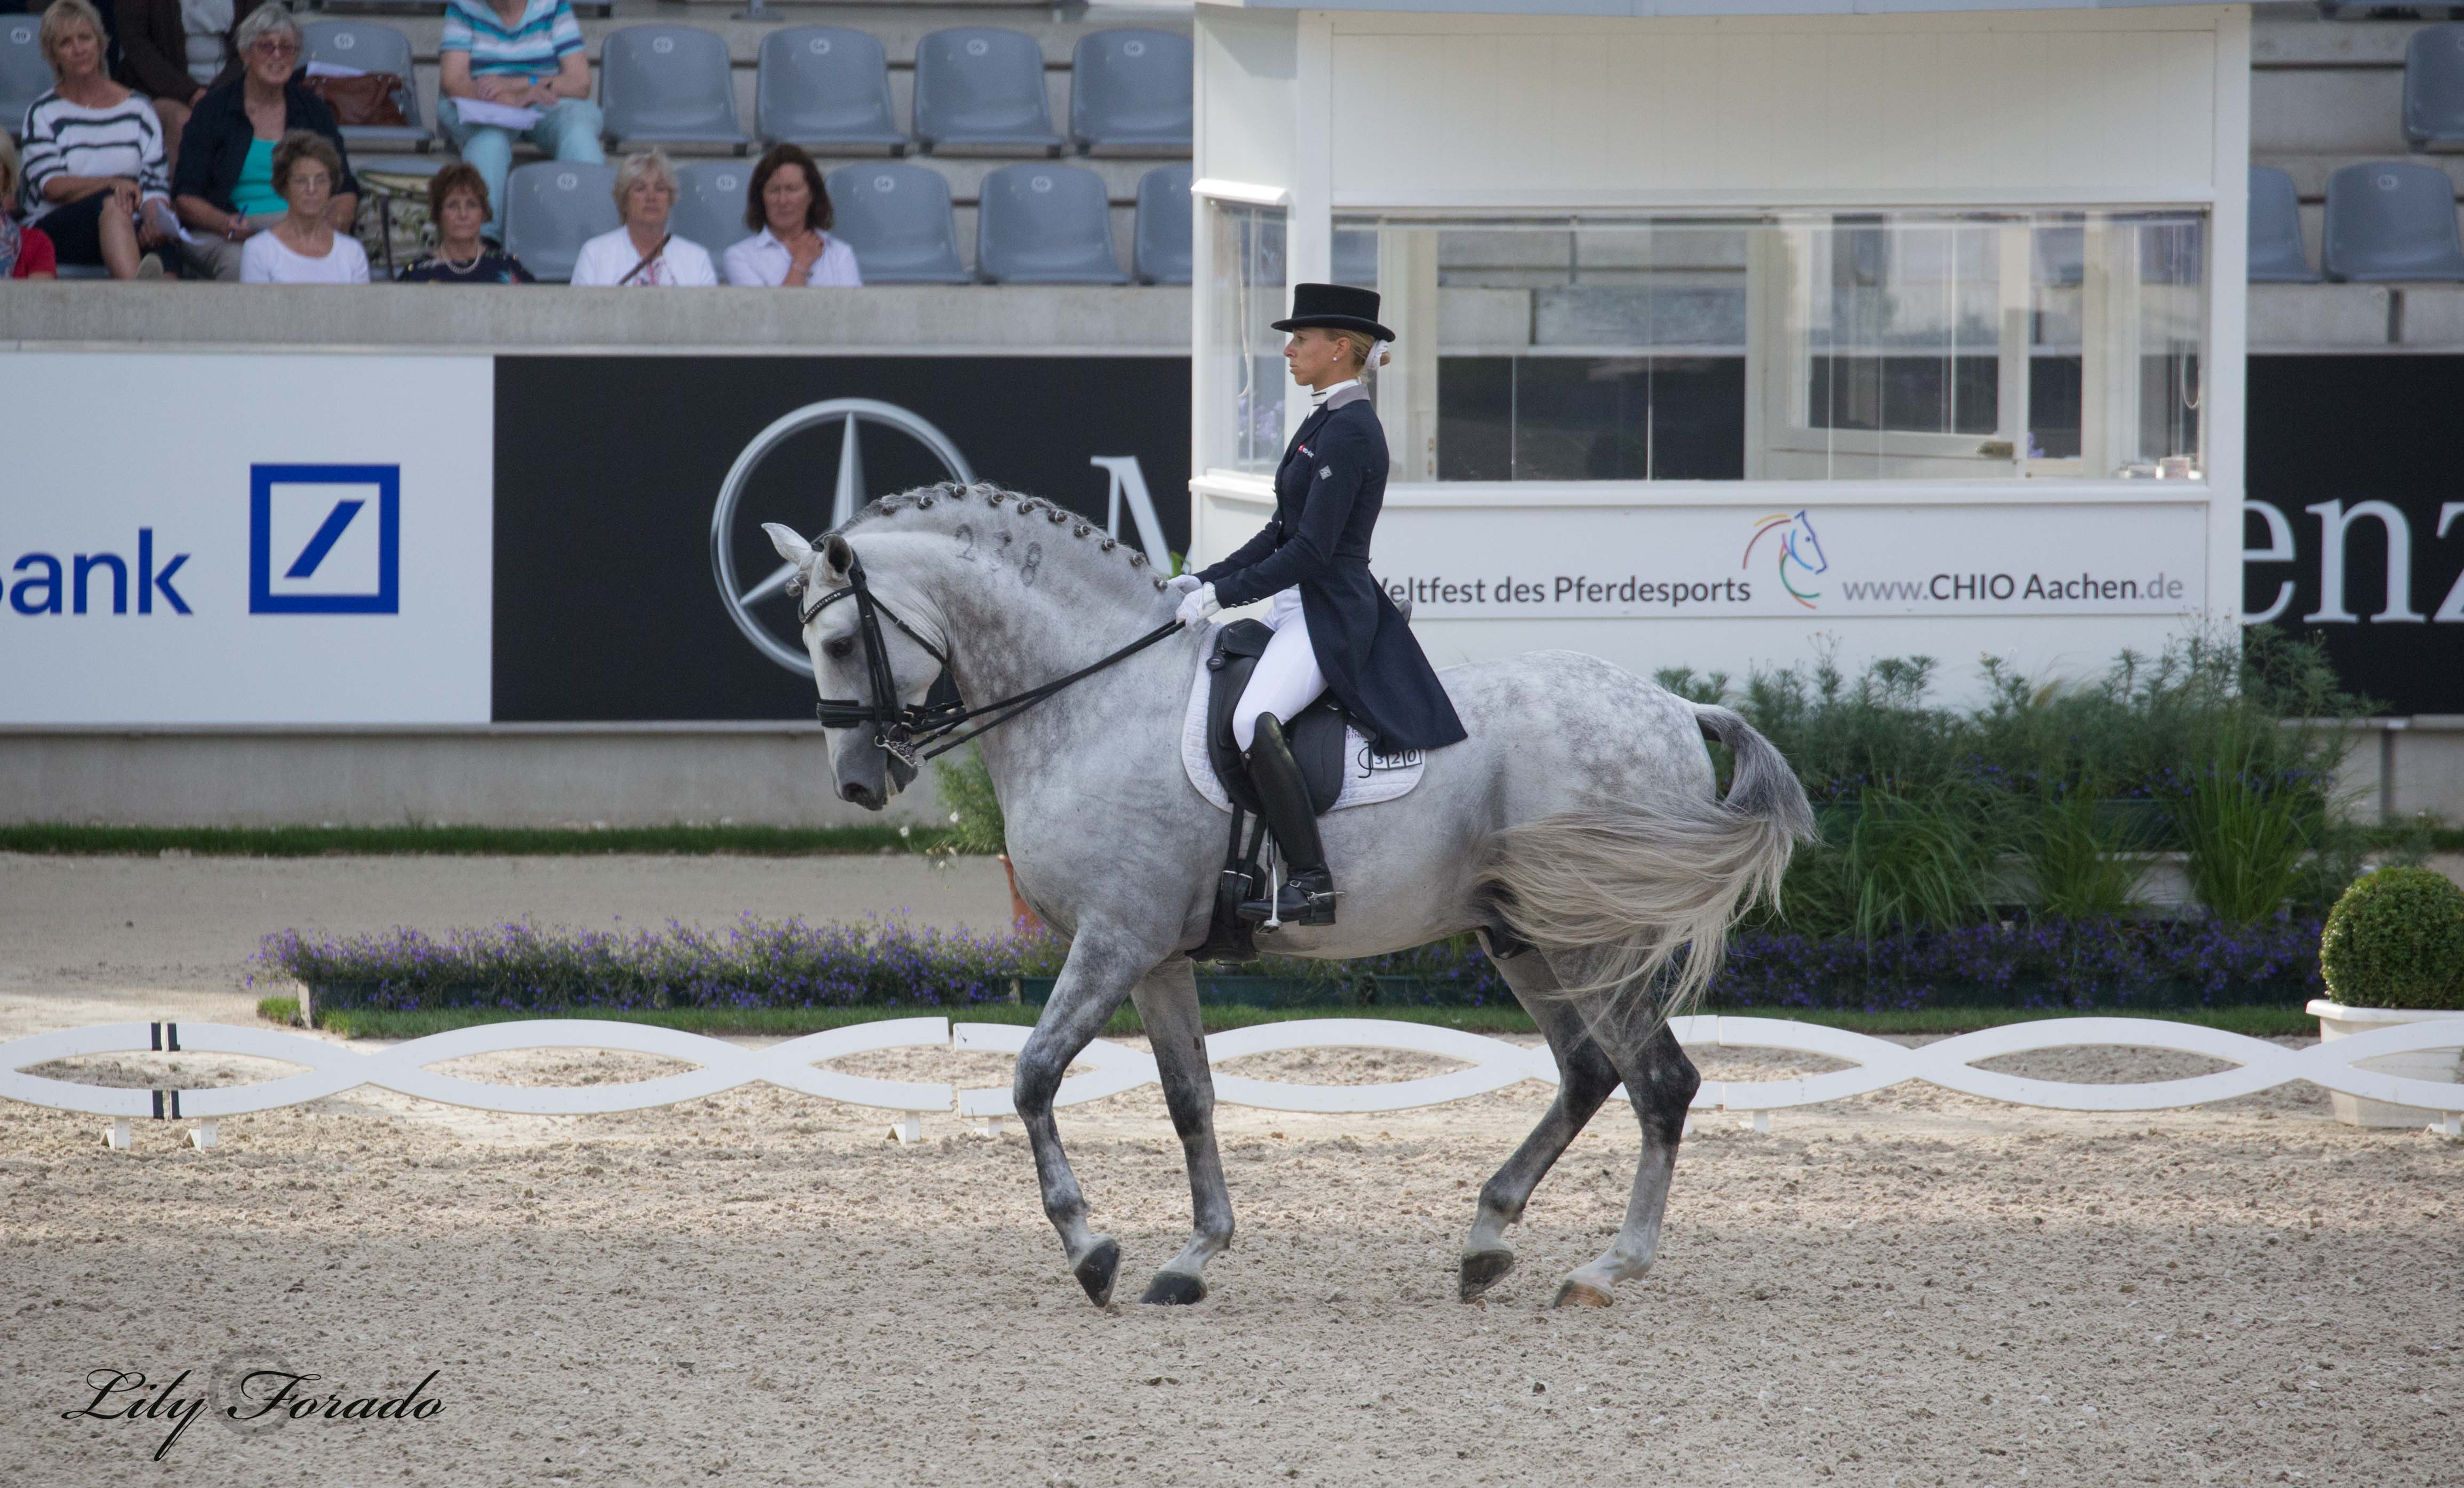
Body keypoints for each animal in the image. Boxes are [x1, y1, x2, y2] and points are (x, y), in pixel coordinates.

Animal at [758, 490, 1823, 1310]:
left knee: (1661, 1081)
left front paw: (1091, 1250)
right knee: (1592, 1071)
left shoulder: (1114, 939)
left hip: (1596, 938)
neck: (1094, 697)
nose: (858, 783)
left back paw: (1606, 1269)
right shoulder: (1156, 956)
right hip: (1523, 936)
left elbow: (1032, 1077)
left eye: (842, 640)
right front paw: (1191, 1259)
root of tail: (1677, 709)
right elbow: (1189, 1099)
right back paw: (1487, 1240)